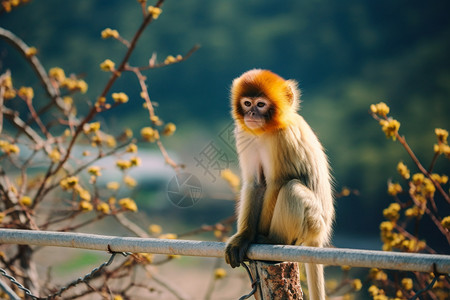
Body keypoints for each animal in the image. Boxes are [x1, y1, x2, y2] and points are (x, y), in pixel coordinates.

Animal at [225, 69, 334, 298]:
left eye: (260, 104)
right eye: (247, 103)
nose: (251, 114)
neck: (266, 130)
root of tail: (320, 236)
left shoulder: (283, 137)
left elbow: (276, 184)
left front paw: (257, 237)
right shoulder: (244, 134)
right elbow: (255, 184)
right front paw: (244, 238)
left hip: (314, 223)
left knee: (292, 188)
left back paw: (274, 239)